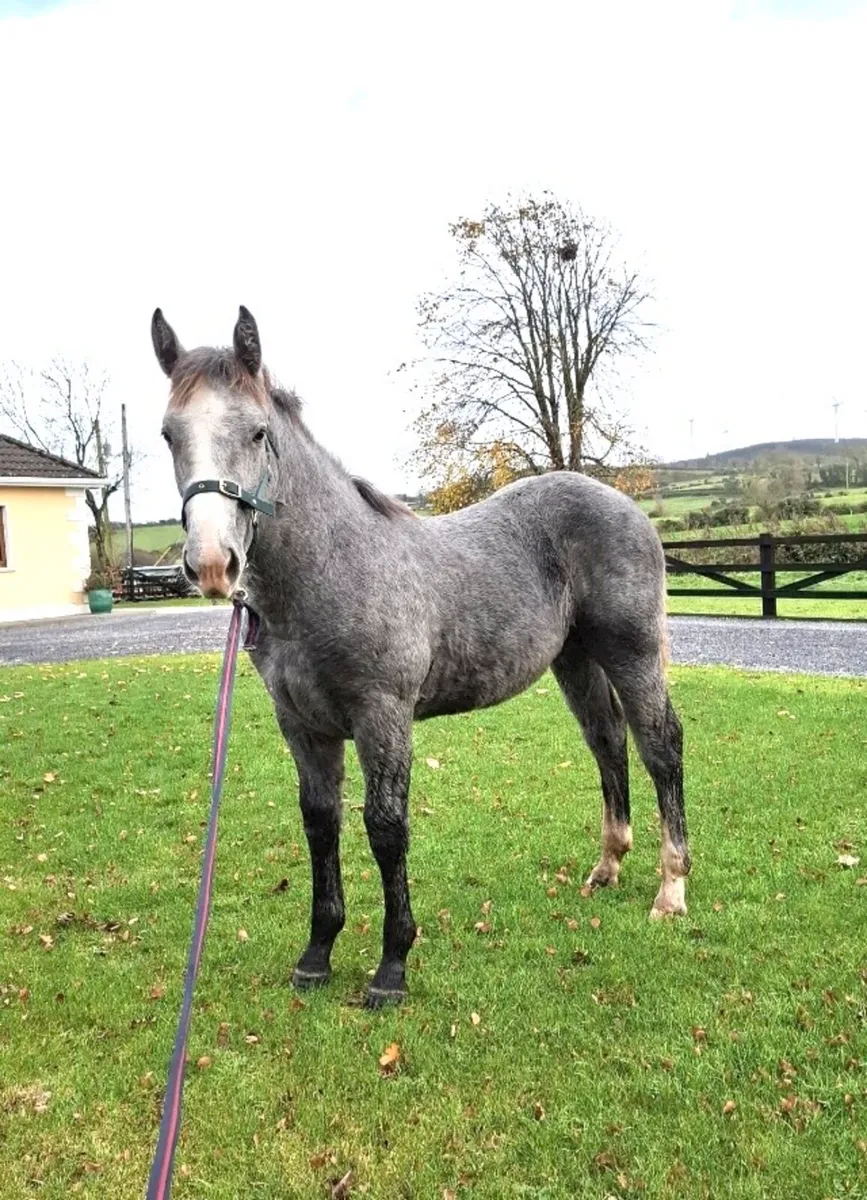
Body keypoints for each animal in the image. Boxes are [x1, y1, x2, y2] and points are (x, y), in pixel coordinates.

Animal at [152, 306, 690, 1008]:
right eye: (168, 434)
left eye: (258, 431)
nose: (213, 564)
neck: (331, 571)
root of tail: (626, 507)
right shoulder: (302, 725)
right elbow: (320, 822)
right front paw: (317, 953)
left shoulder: (383, 715)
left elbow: (385, 828)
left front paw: (392, 965)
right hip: (575, 661)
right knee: (608, 742)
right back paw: (607, 867)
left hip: (632, 653)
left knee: (660, 747)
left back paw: (672, 889)